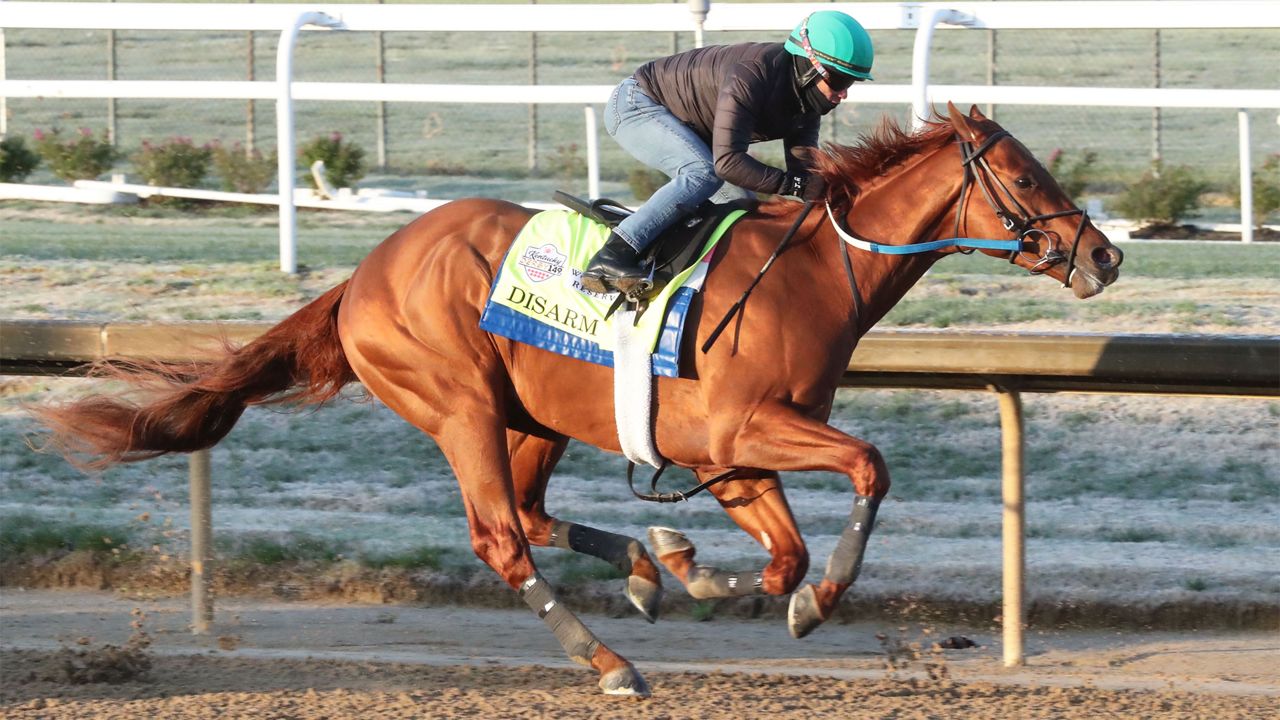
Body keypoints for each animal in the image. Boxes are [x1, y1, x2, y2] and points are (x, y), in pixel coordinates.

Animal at [35, 105, 1121, 696]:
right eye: (1026, 175)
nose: (1106, 256)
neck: (813, 272)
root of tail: (363, 275)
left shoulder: (732, 456)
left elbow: (781, 551)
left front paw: (703, 572)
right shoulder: (749, 429)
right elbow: (867, 468)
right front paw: (812, 601)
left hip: (533, 419)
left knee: (526, 512)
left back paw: (644, 565)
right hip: (460, 406)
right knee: (498, 536)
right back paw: (607, 662)